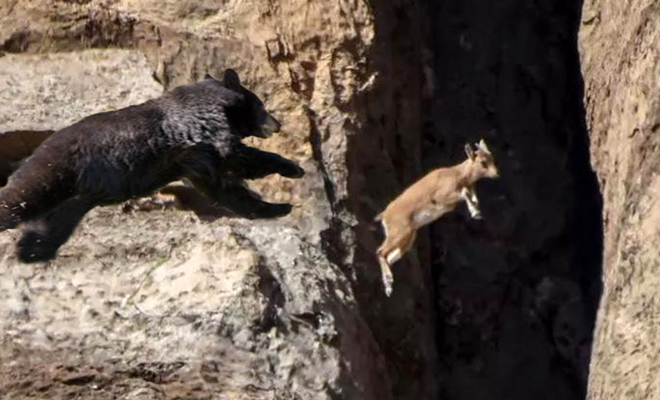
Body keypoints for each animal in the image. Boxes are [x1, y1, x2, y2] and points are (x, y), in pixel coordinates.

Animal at [0, 69, 304, 262]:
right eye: (261, 105)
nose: (277, 125)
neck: (217, 104)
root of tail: (37, 151)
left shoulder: (194, 161)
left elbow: (222, 189)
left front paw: (277, 207)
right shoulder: (204, 133)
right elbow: (237, 157)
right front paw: (292, 168)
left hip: (73, 195)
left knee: (53, 223)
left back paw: (31, 251)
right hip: (53, 174)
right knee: (20, 200)